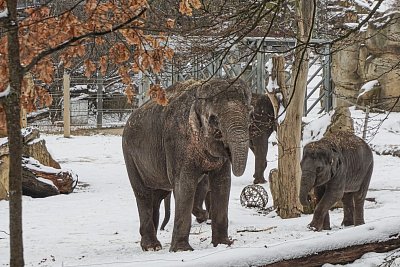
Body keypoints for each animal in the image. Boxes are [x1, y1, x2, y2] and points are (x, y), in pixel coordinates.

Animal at [122, 78, 253, 253]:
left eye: (250, 114)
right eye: (213, 119)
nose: (228, 149)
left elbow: (223, 183)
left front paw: (223, 244)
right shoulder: (177, 142)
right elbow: (185, 185)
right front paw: (181, 250)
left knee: (157, 195)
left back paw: (153, 244)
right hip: (130, 156)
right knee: (143, 194)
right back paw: (152, 246)